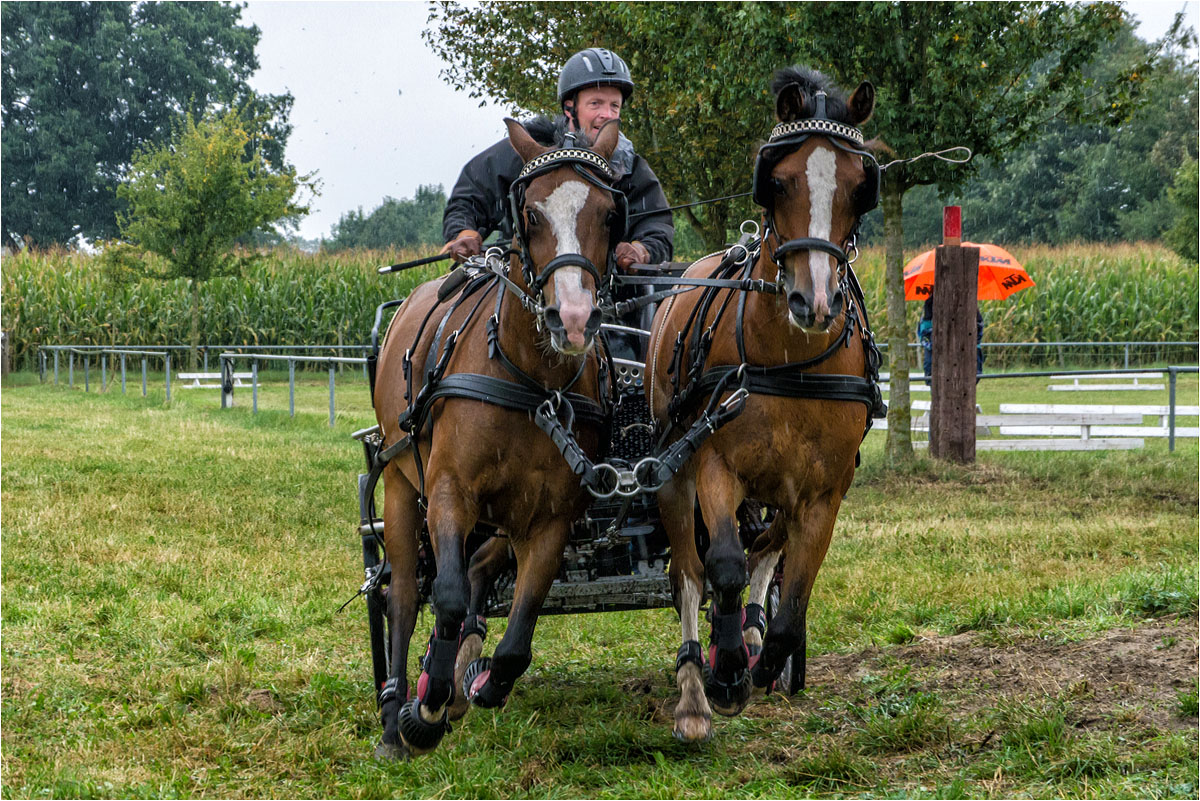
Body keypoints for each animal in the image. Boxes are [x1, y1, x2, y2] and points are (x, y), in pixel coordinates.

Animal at [372, 118, 619, 757]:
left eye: (610, 212)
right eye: (529, 213)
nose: (572, 319)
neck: (532, 383)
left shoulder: (553, 518)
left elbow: (518, 633)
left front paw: (482, 682)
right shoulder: (449, 491)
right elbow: (446, 595)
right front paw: (425, 705)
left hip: (504, 516)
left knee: (482, 568)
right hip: (401, 483)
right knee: (404, 593)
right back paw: (394, 715)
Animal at [648, 68, 883, 743]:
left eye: (860, 187)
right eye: (777, 180)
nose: (816, 301)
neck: (790, 363)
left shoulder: (825, 492)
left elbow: (791, 603)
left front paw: (763, 659)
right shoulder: (714, 465)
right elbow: (722, 565)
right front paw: (725, 673)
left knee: (765, 552)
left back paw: (748, 639)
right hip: (672, 474)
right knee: (690, 573)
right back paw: (697, 688)